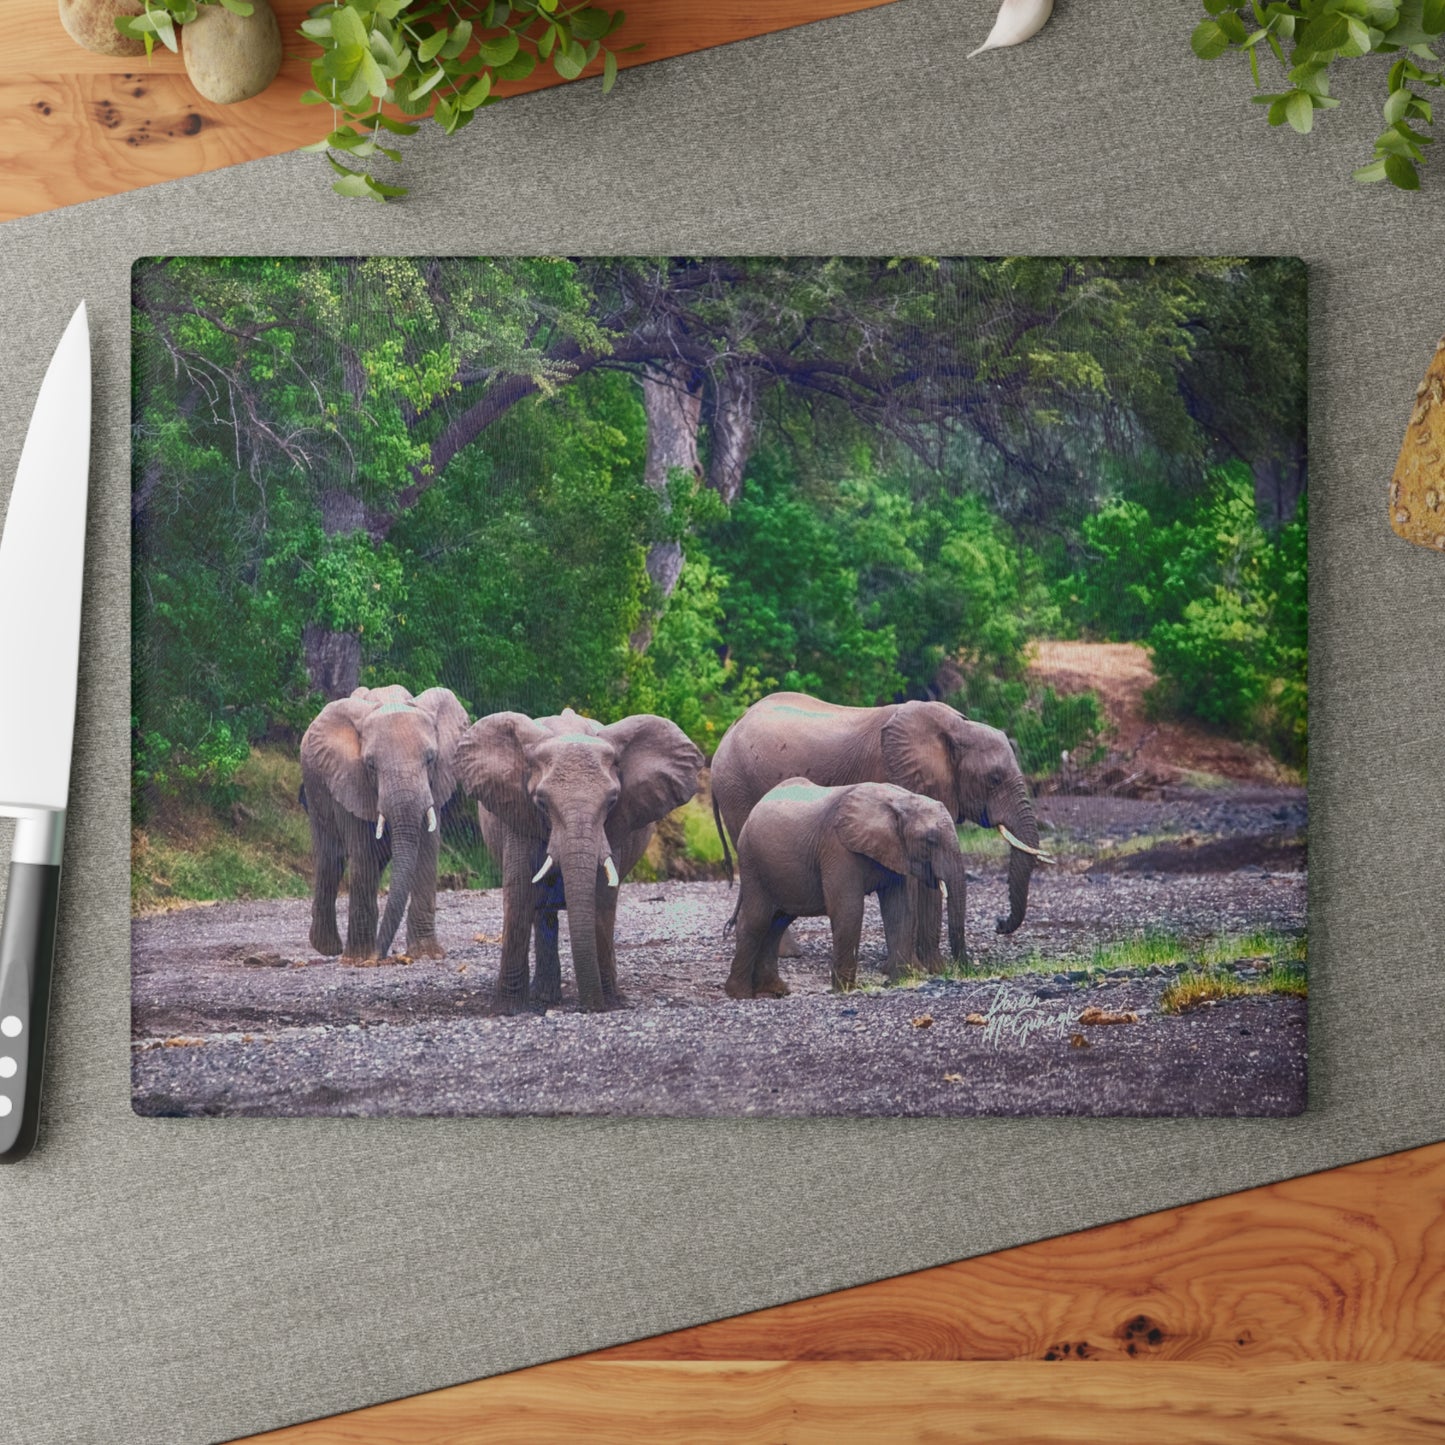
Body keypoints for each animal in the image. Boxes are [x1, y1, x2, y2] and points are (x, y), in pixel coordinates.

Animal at [300, 684, 469, 963]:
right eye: (370, 765)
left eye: (431, 759)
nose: (380, 955)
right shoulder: (351, 779)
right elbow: (363, 856)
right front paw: (360, 960)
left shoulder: (434, 786)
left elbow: (426, 853)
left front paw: (426, 955)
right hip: (315, 786)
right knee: (332, 859)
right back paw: (329, 948)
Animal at [456, 707, 704, 1014]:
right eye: (541, 802)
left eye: (612, 802)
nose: (591, 1007)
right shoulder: (517, 813)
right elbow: (520, 895)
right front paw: (507, 1010)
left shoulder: (613, 829)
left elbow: (602, 899)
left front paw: (609, 1002)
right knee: (542, 911)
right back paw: (544, 998)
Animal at [710, 691, 1051, 965]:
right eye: (994, 779)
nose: (999, 922)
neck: (956, 727)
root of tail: (726, 734)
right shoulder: (893, 775)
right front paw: (921, 966)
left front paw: (933, 968)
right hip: (737, 789)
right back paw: (786, 954)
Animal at [725, 779, 971, 997]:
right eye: (930, 840)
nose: (963, 971)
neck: (898, 800)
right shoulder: (837, 847)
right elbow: (848, 909)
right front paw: (846, 990)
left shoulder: (895, 850)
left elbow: (899, 911)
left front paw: (901, 981)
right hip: (752, 863)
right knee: (757, 920)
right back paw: (740, 994)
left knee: (778, 922)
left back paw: (775, 991)